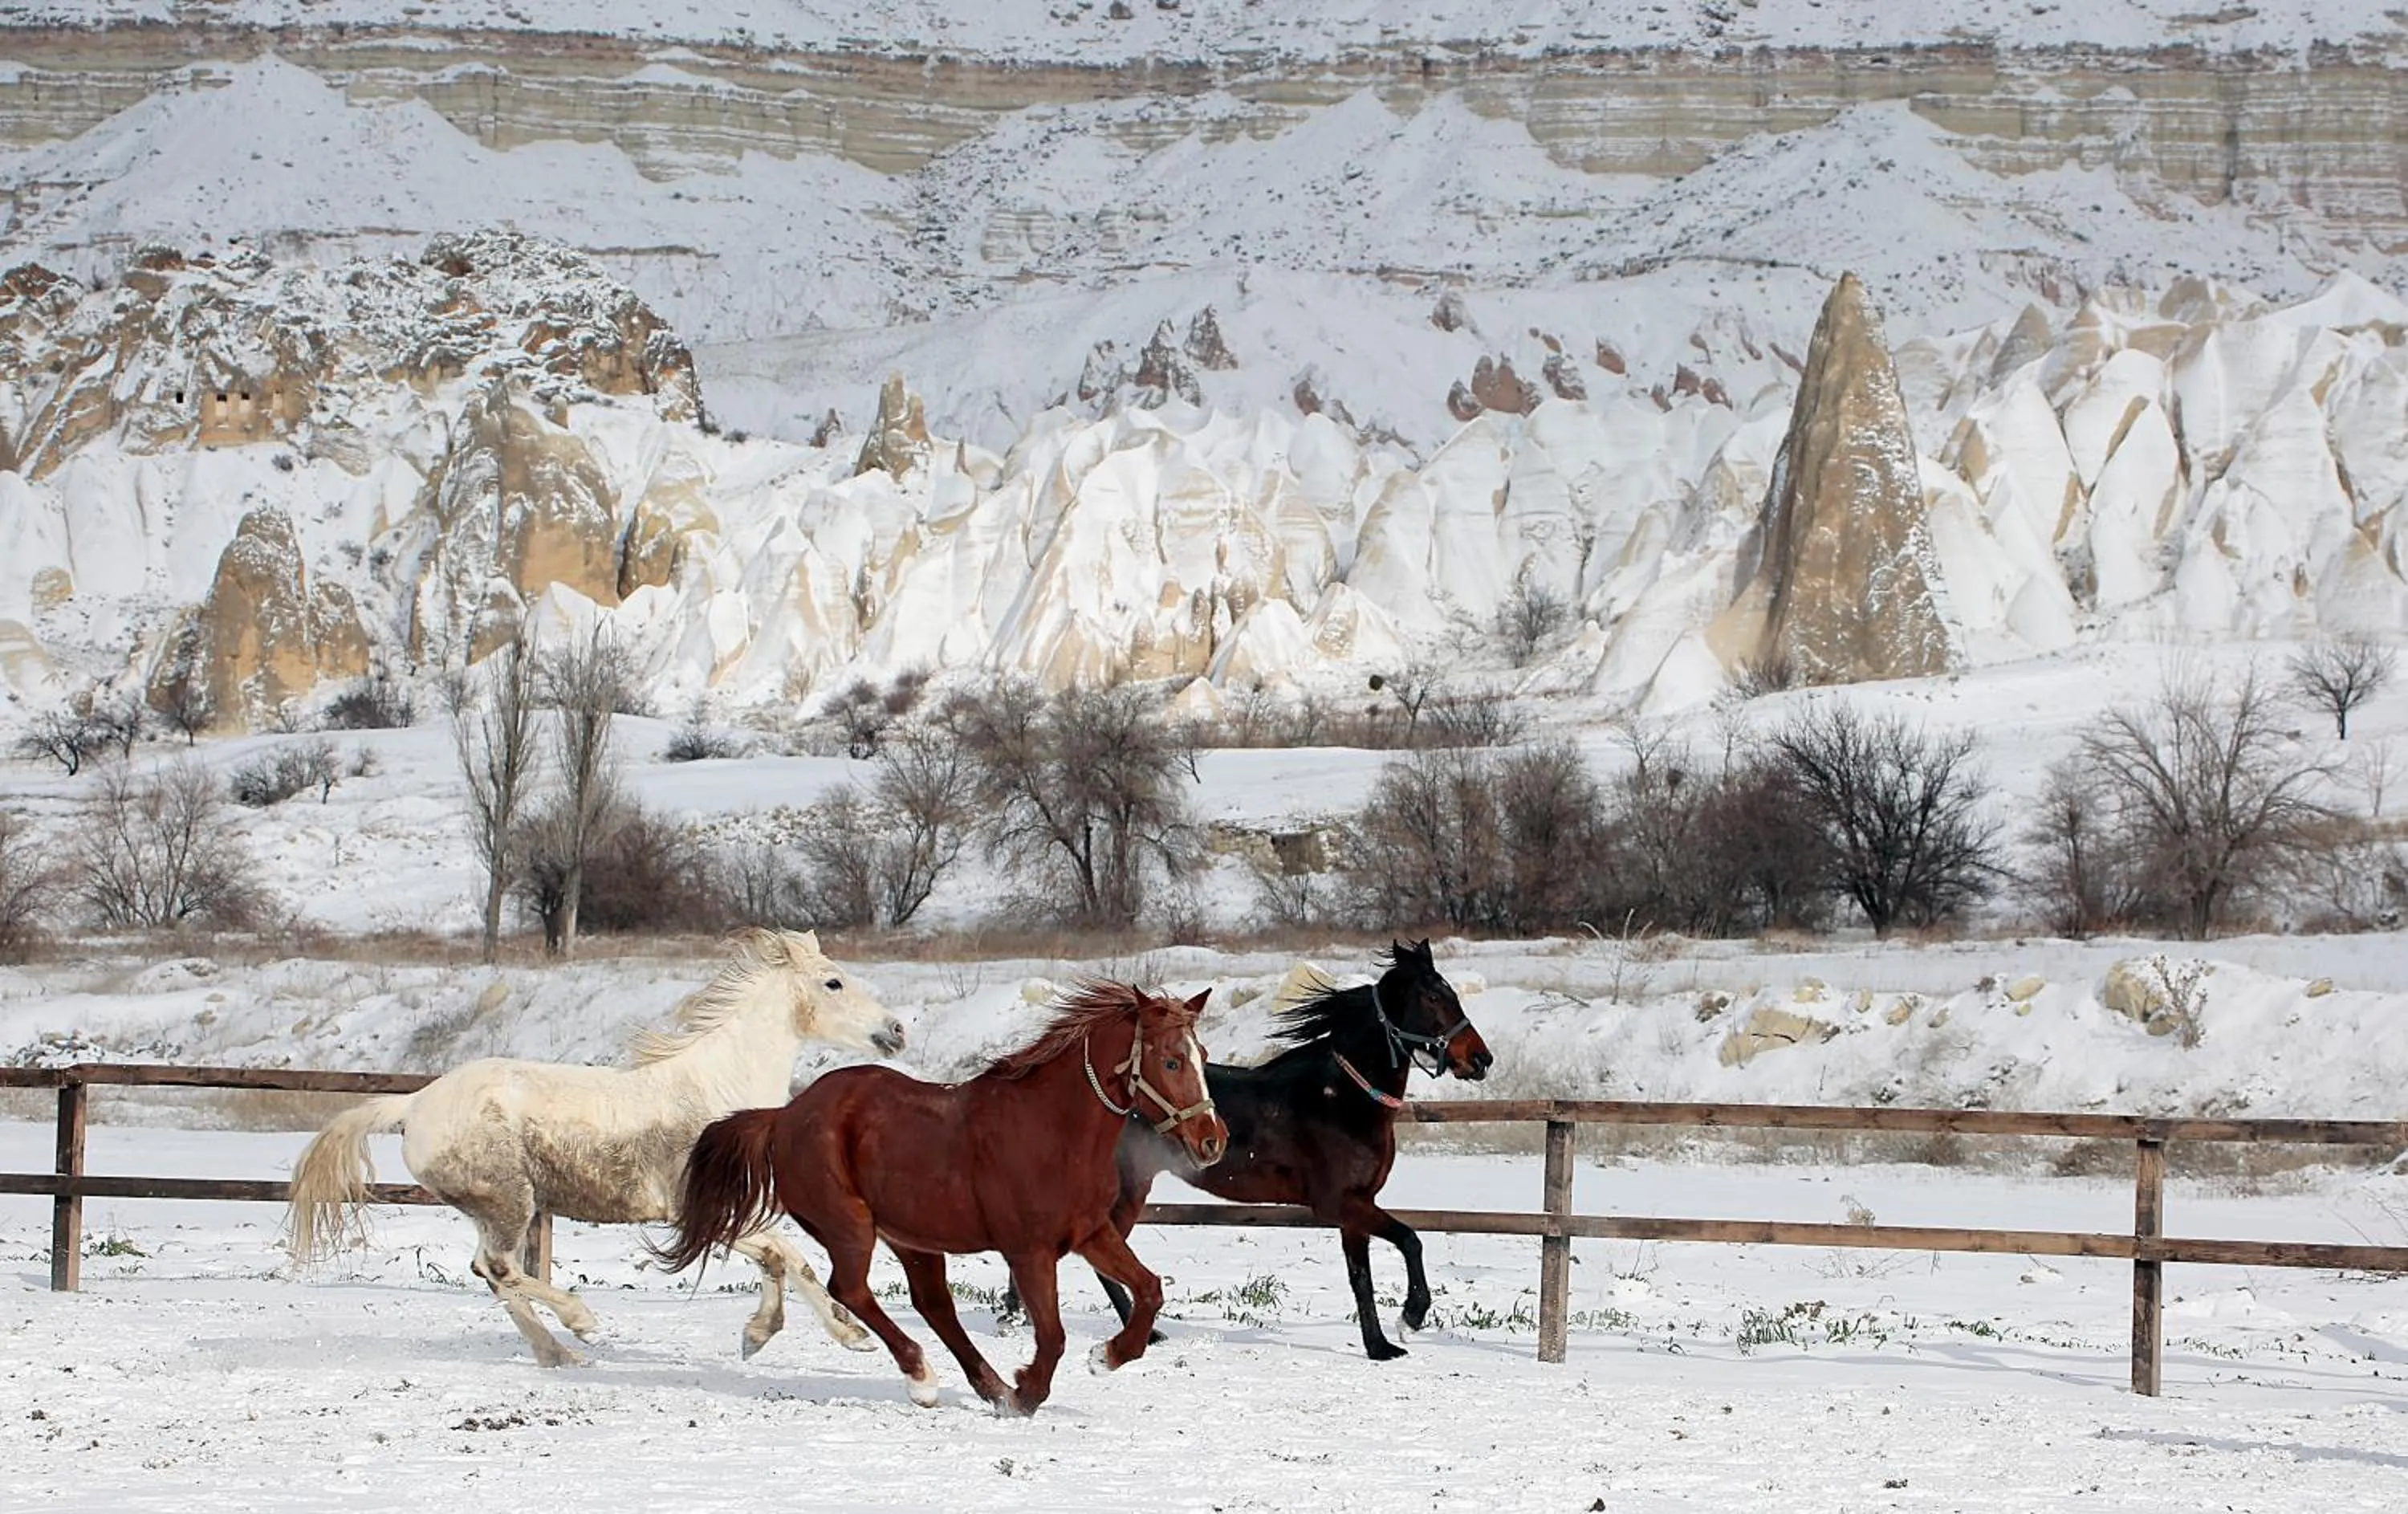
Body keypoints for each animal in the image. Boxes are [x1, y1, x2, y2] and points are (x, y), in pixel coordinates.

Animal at [285, 927, 908, 1368]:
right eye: (833, 983)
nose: (897, 1030)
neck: (719, 1089)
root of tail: (414, 1105)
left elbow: (786, 1260)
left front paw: (788, 1336)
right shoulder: (694, 1210)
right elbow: (786, 1257)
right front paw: (827, 1335)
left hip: (494, 1208)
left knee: (491, 1272)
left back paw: (559, 1355)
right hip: (509, 1202)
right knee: (499, 1267)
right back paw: (580, 1324)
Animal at [656, 980, 1228, 1416]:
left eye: (1202, 1057)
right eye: (1172, 1062)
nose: (1212, 1141)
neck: (1052, 1132)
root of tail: (783, 1116)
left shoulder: (1091, 1232)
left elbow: (1149, 1290)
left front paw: (1104, 1357)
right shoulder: (1028, 1251)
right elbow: (1053, 1334)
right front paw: (1028, 1392)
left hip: (913, 1238)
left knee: (934, 1306)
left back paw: (987, 1386)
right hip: (850, 1225)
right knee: (852, 1290)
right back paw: (923, 1377)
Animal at [1003, 938, 1491, 1359]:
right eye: (1434, 997)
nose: (1481, 1059)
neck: (1341, 1097)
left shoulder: (1358, 1206)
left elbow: (1361, 1279)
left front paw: (1380, 1347)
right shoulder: (1338, 1202)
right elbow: (1410, 1240)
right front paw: (1412, 1317)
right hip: (1126, 1191)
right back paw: (1145, 1333)